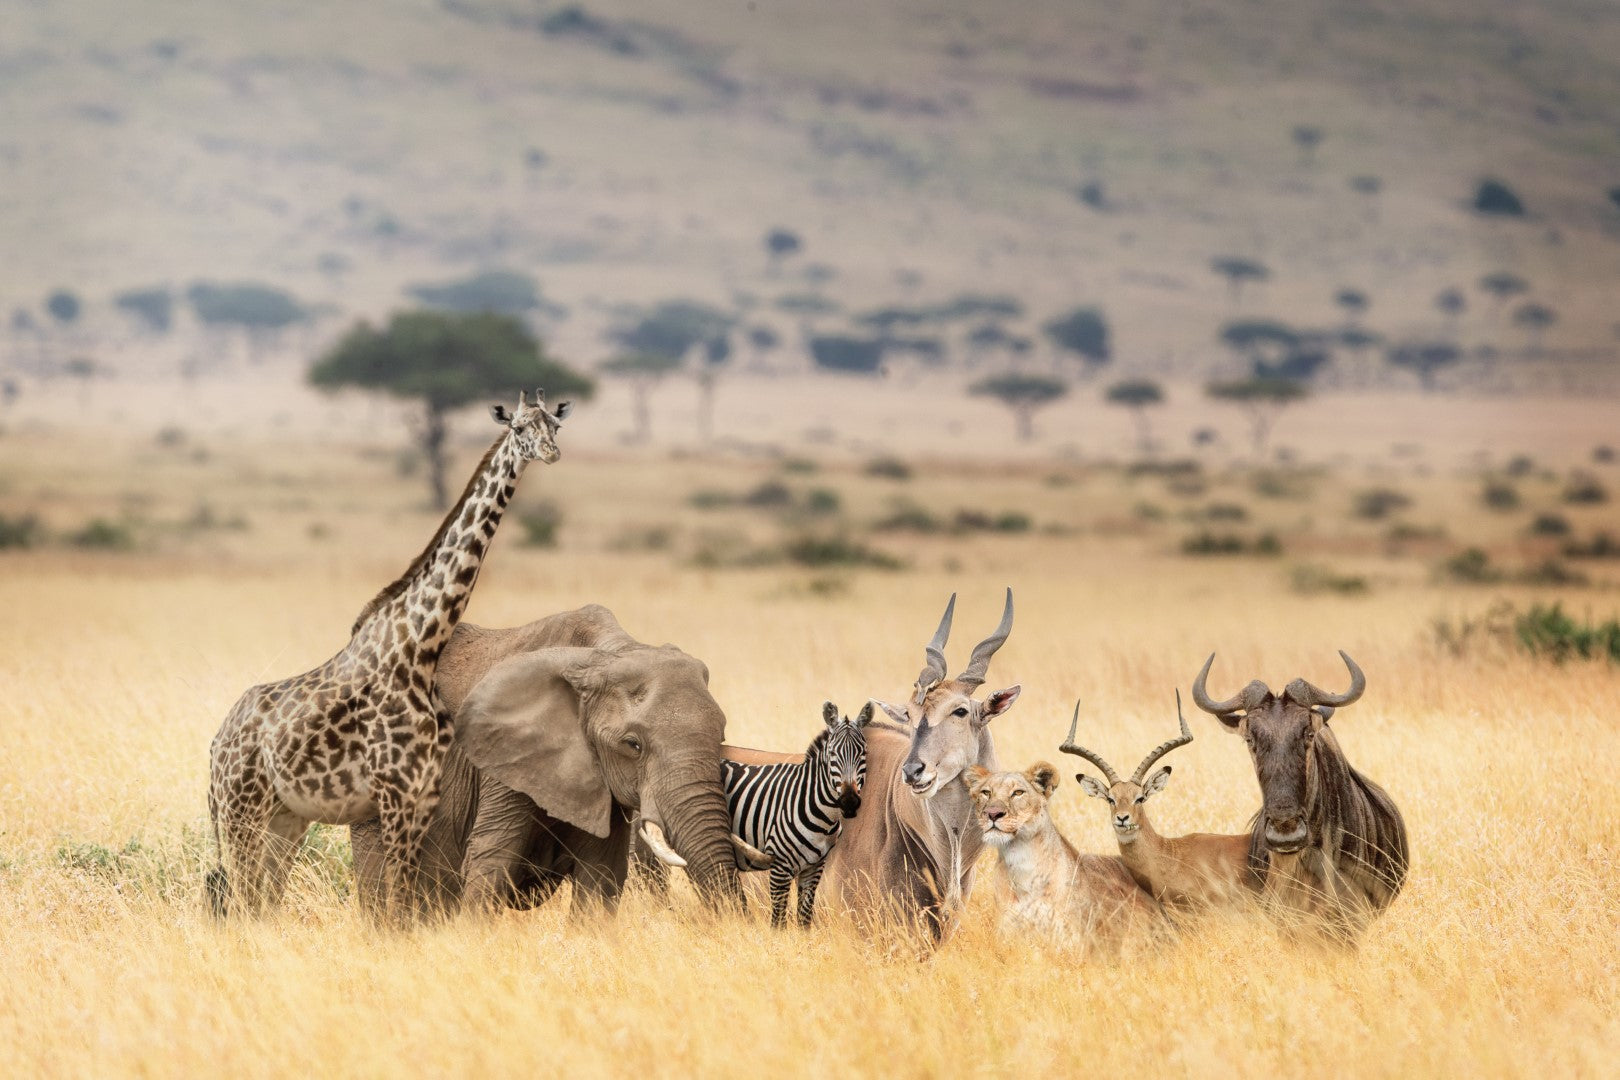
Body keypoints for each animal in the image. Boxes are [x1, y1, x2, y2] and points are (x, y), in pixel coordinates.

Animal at [350, 604, 758, 916]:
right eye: (633, 745)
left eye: (720, 738)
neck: (605, 655)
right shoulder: (506, 756)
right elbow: (492, 858)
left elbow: (602, 873)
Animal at [722, 701, 871, 927]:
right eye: (832, 754)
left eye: (863, 753)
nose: (849, 802)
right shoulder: (779, 866)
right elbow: (778, 922)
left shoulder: (814, 867)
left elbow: (804, 918)